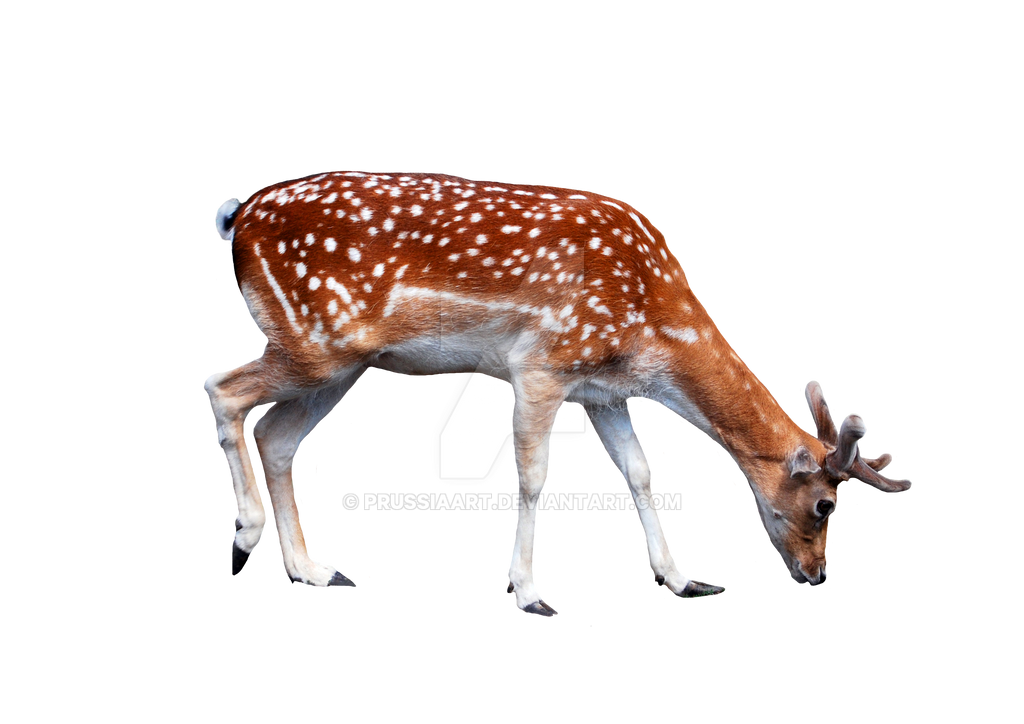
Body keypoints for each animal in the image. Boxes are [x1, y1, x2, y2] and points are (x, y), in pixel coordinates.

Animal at [207, 169, 913, 616]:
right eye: (826, 506)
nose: (817, 575)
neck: (652, 327)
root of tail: (237, 219)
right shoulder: (543, 362)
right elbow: (533, 473)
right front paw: (529, 594)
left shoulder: (603, 391)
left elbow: (639, 472)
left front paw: (684, 581)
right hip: (315, 342)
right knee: (224, 389)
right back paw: (244, 537)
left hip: (344, 362)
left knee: (275, 435)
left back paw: (315, 571)